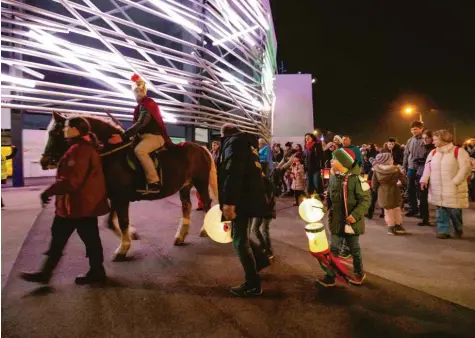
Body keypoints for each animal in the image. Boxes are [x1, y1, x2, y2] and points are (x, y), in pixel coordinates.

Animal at [41, 112, 218, 260]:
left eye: (56, 133)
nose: (44, 161)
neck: (113, 154)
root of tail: (201, 148)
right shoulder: (116, 196)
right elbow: (110, 222)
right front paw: (132, 235)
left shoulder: (121, 198)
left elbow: (122, 221)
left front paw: (123, 249)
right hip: (185, 186)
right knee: (186, 206)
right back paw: (180, 236)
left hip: (200, 182)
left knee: (206, 203)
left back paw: (205, 230)